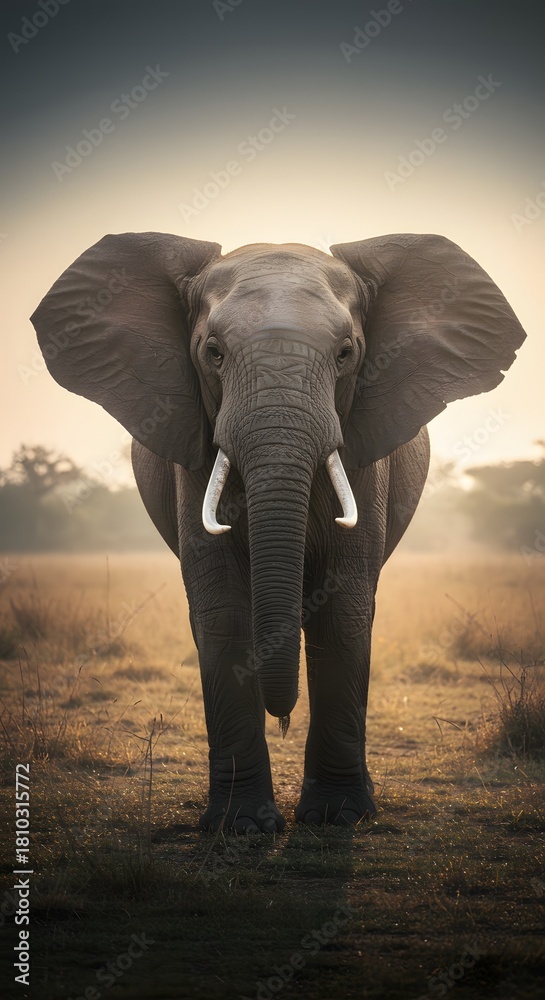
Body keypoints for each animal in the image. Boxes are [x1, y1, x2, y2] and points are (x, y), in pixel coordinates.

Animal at [31, 231, 526, 832]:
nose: (284, 715)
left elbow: (343, 607)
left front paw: (336, 818)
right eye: (213, 352)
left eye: (347, 353)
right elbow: (222, 610)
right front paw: (241, 826)